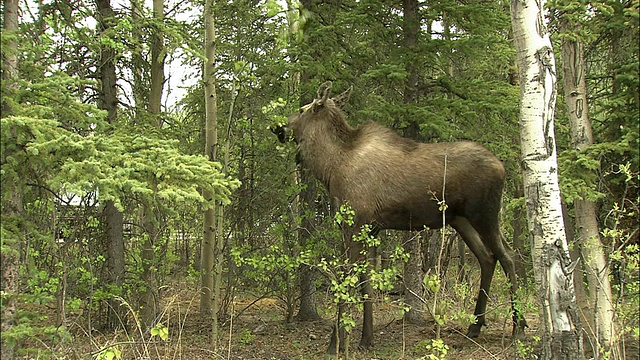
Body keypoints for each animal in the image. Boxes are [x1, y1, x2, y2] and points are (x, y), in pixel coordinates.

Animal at [278, 80, 528, 352]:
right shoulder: (371, 228)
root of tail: (502, 167)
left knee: (508, 256)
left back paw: (517, 329)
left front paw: (335, 344)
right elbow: (367, 281)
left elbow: (346, 279)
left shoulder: (353, 224)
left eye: (302, 109)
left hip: (484, 214)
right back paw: (475, 327)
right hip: (461, 220)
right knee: (487, 257)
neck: (330, 167)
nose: (278, 127)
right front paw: (366, 338)